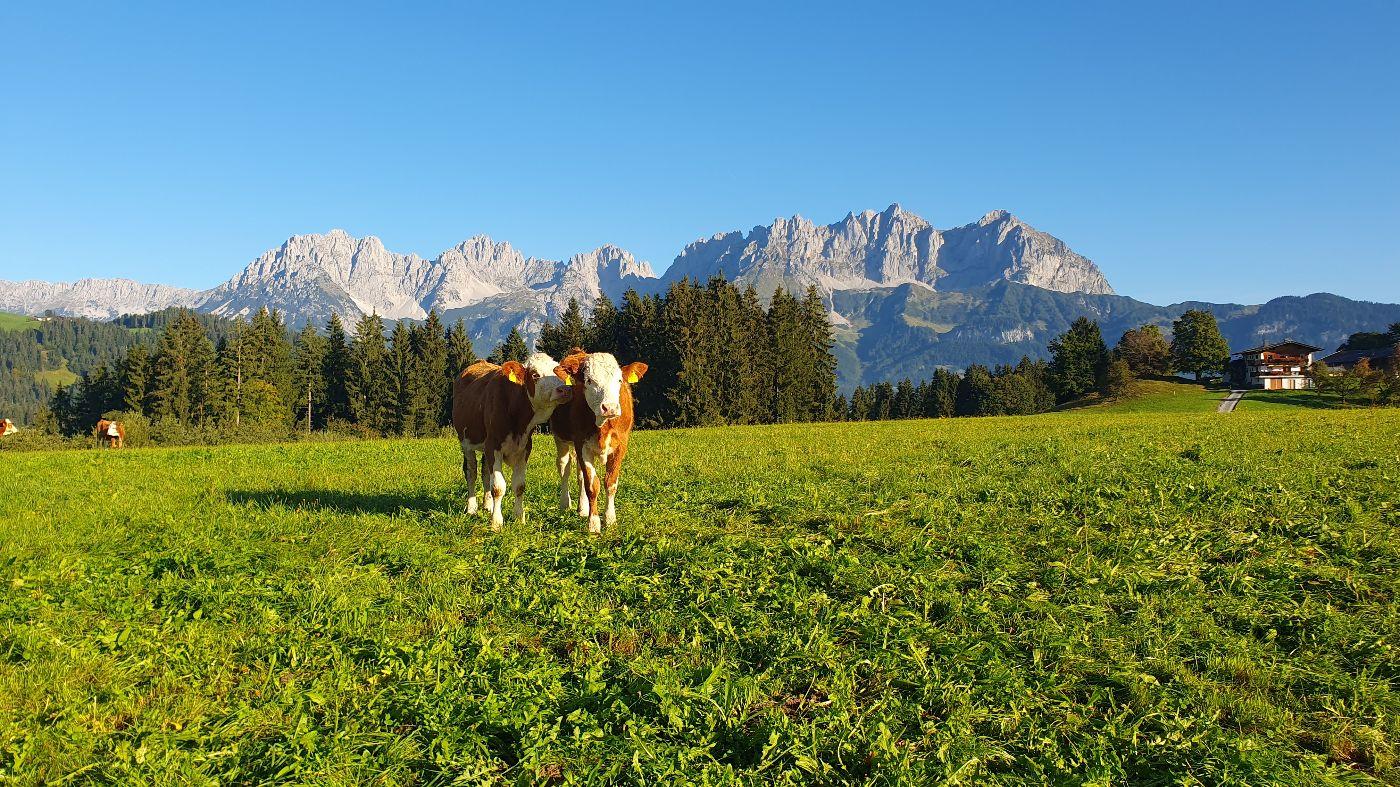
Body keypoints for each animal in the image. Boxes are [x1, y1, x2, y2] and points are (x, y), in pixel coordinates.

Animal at [451, 352, 572, 529]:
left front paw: (519, 517)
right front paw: (496, 522)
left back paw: (487, 506)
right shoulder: (493, 445)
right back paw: (472, 508)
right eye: (535, 375)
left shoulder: (525, 447)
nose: (565, 389)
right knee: (471, 471)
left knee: (485, 472)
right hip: (466, 442)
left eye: (557, 371)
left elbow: (519, 485)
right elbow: (498, 487)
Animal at [550, 349, 648, 534]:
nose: (609, 407)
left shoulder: (621, 446)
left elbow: (610, 483)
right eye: (589, 381)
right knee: (564, 468)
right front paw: (594, 523)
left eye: (619, 380)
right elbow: (592, 485)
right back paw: (565, 504)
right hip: (561, 439)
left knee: (579, 475)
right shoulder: (581, 444)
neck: (603, 425)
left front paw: (610, 519)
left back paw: (582, 508)